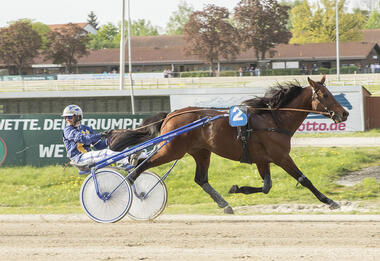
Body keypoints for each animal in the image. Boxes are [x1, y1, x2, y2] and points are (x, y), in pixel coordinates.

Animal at [106, 75, 348, 213]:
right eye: (325, 95)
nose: (344, 113)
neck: (273, 120)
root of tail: (171, 115)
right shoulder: (281, 157)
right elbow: (304, 179)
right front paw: (330, 201)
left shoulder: (263, 159)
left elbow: (267, 186)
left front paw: (237, 188)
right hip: (171, 149)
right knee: (142, 165)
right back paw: (123, 190)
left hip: (200, 151)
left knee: (200, 179)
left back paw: (225, 205)